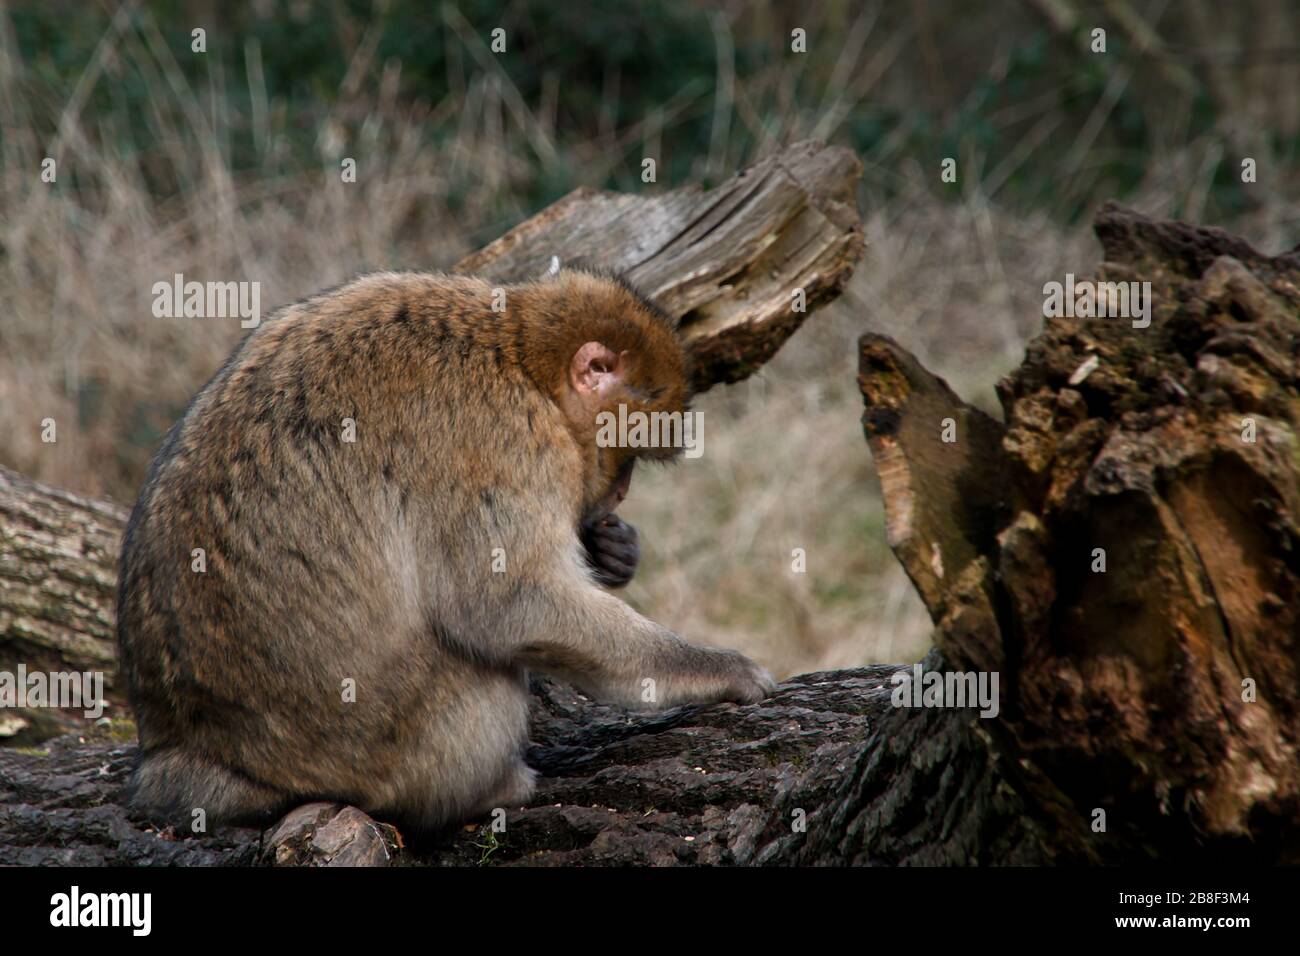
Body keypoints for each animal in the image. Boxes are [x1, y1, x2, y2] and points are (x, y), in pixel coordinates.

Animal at [116, 268, 775, 834]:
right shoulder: (504, 438)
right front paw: (718, 670)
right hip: (385, 748)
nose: (620, 489)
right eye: (631, 450)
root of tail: (192, 751)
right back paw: (491, 789)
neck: (520, 356)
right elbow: (509, 605)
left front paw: (614, 548)